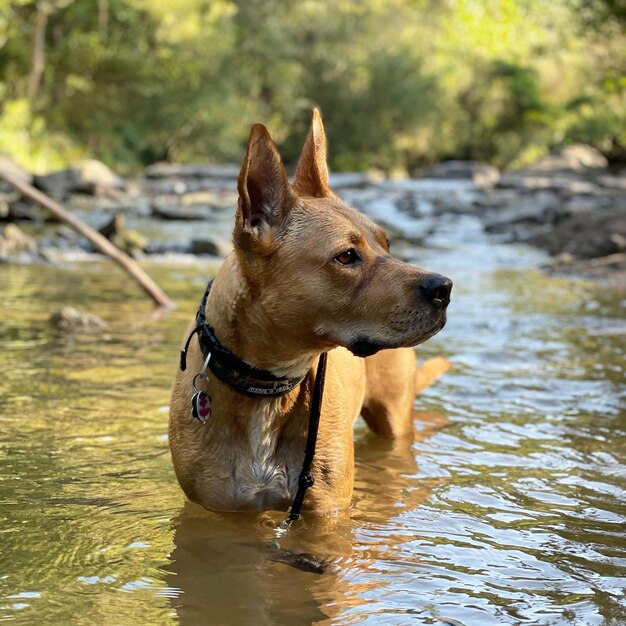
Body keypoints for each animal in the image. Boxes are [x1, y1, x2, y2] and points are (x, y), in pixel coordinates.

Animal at [168, 109, 450, 516]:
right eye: (346, 256)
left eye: (387, 244)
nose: (444, 288)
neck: (267, 388)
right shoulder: (219, 510)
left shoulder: (325, 512)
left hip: (395, 416)